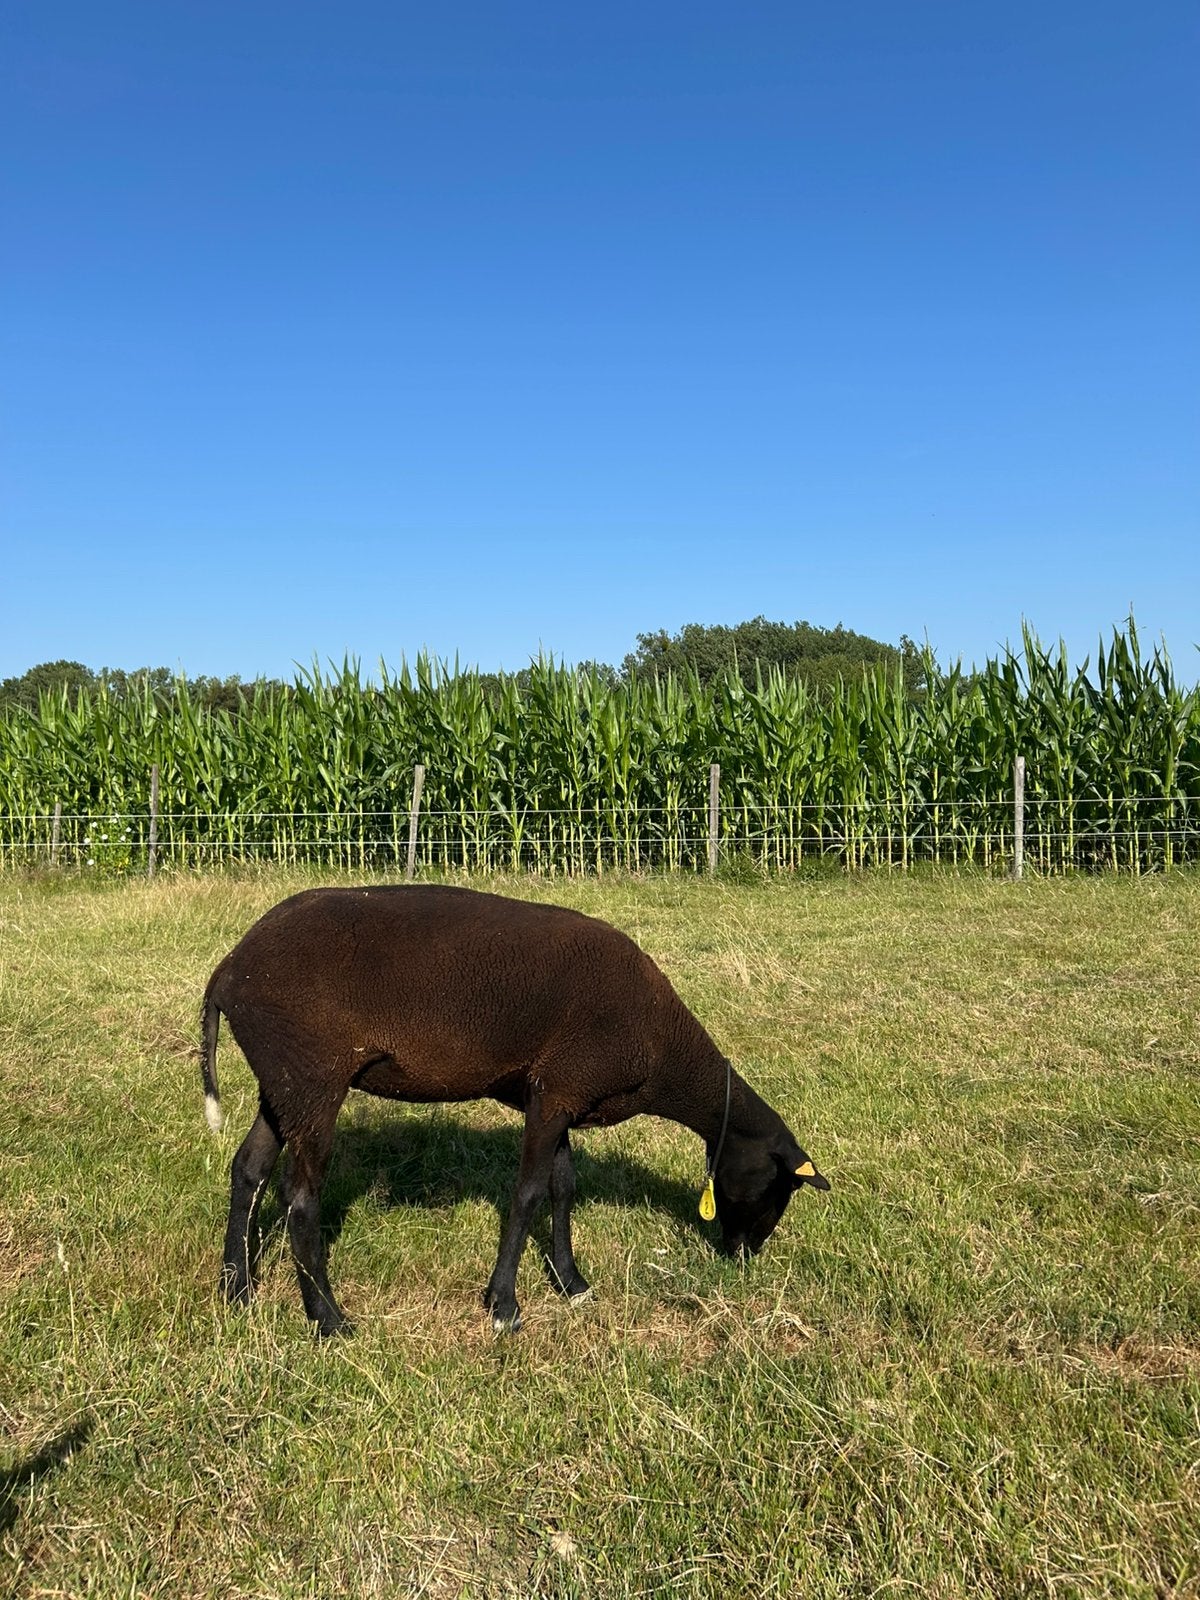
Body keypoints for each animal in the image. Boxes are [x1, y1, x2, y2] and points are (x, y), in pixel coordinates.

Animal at [200, 884, 829, 1335]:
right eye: (778, 1188)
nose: (743, 1257)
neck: (662, 1049)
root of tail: (228, 969)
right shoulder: (557, 1092)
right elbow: (526, 1194)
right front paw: (503, 1305)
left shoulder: (558, 1095)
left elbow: (563, 1186)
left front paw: (571, 1282)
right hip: (312, 1077)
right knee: (300, 1196)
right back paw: (328, 1320)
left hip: (282, 1082)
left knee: (249, 1169)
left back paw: (237, 1291)